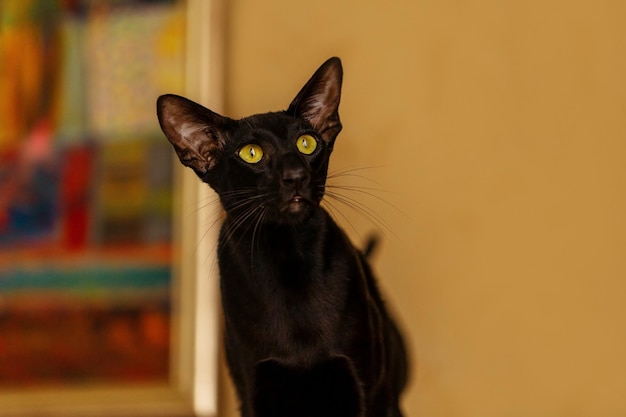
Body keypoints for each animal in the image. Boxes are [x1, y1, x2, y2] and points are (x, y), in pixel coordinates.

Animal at [157, 57, 404, 416]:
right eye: (251, 153)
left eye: (307, 144)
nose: (296, 175)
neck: (287, 258)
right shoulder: (252, 392)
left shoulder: (368, 390)